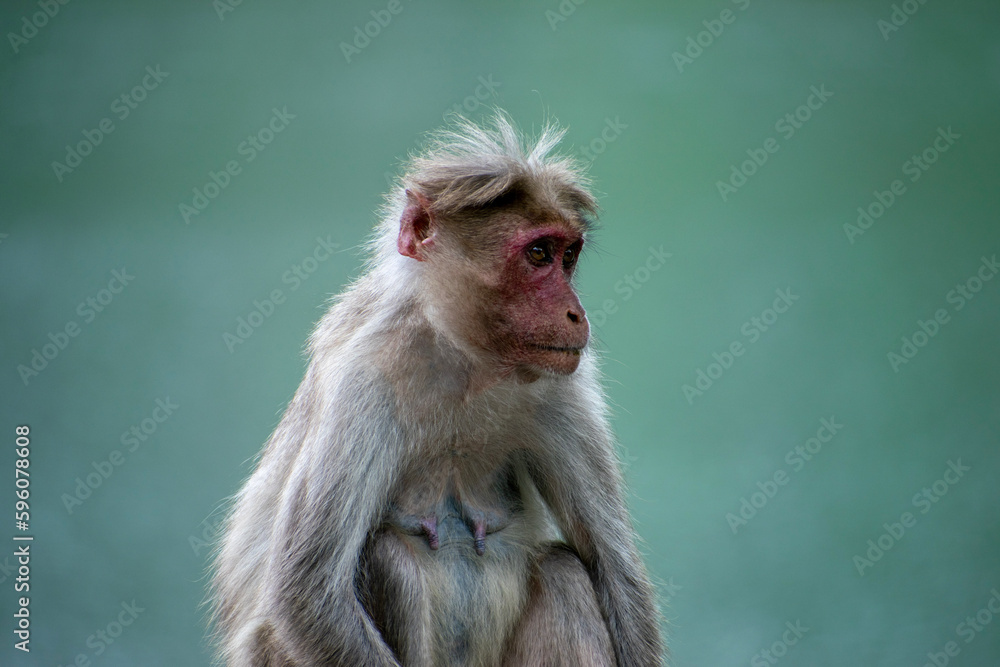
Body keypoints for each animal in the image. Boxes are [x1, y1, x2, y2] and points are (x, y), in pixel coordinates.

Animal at [210, 111, 663, 666]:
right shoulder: (363, 376)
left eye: (568, 255)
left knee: (564, 573)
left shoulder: (563, 387)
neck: (464, 360)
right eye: (539, 254)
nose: (577, 313)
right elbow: (307, 588)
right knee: (386, 556)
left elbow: (614, 571)